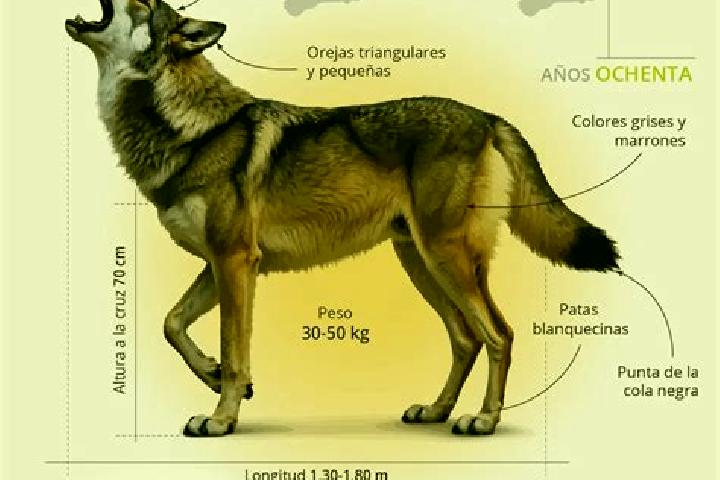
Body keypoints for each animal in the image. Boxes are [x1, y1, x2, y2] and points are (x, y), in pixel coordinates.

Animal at [66, 0, 619, 437]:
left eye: (142, 3)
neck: (188, 129)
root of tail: (488, 117)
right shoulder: (221, 264)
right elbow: (173, 324)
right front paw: (216, 374)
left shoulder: (235, 261)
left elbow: (232, 345)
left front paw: (221, 419)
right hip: (420, 262)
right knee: (466, 338)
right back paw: (436, 411)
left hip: (445, 259)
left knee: (499, 334)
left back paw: (482, 420)